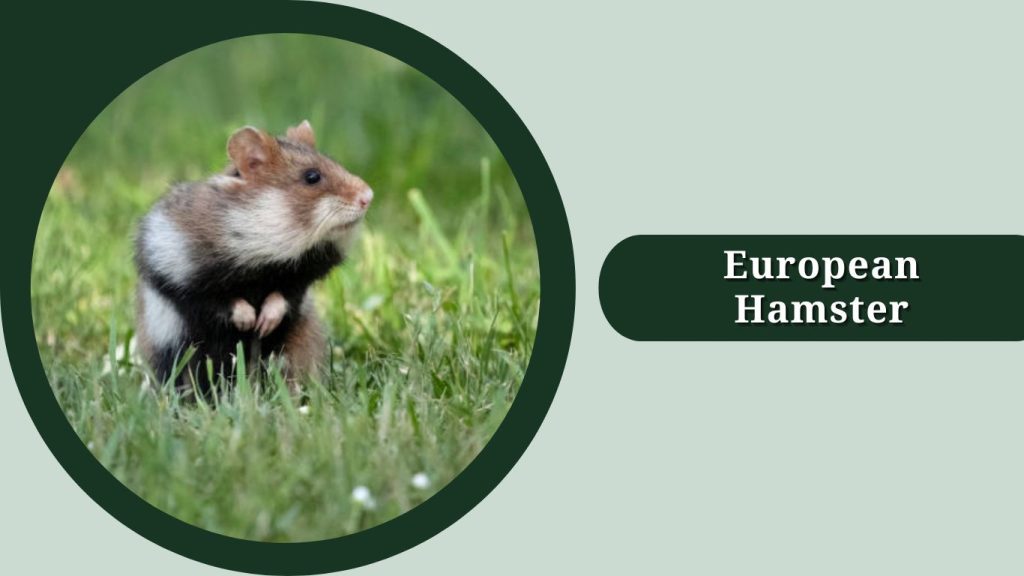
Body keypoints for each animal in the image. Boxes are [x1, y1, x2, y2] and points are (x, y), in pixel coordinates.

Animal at [134, 121, 373, 394]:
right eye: (312, 177)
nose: (368, 196)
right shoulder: (175, 271)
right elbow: (216, 300)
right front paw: (250, 322)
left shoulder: (298, 278)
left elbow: (283, 296)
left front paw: (264, 324)